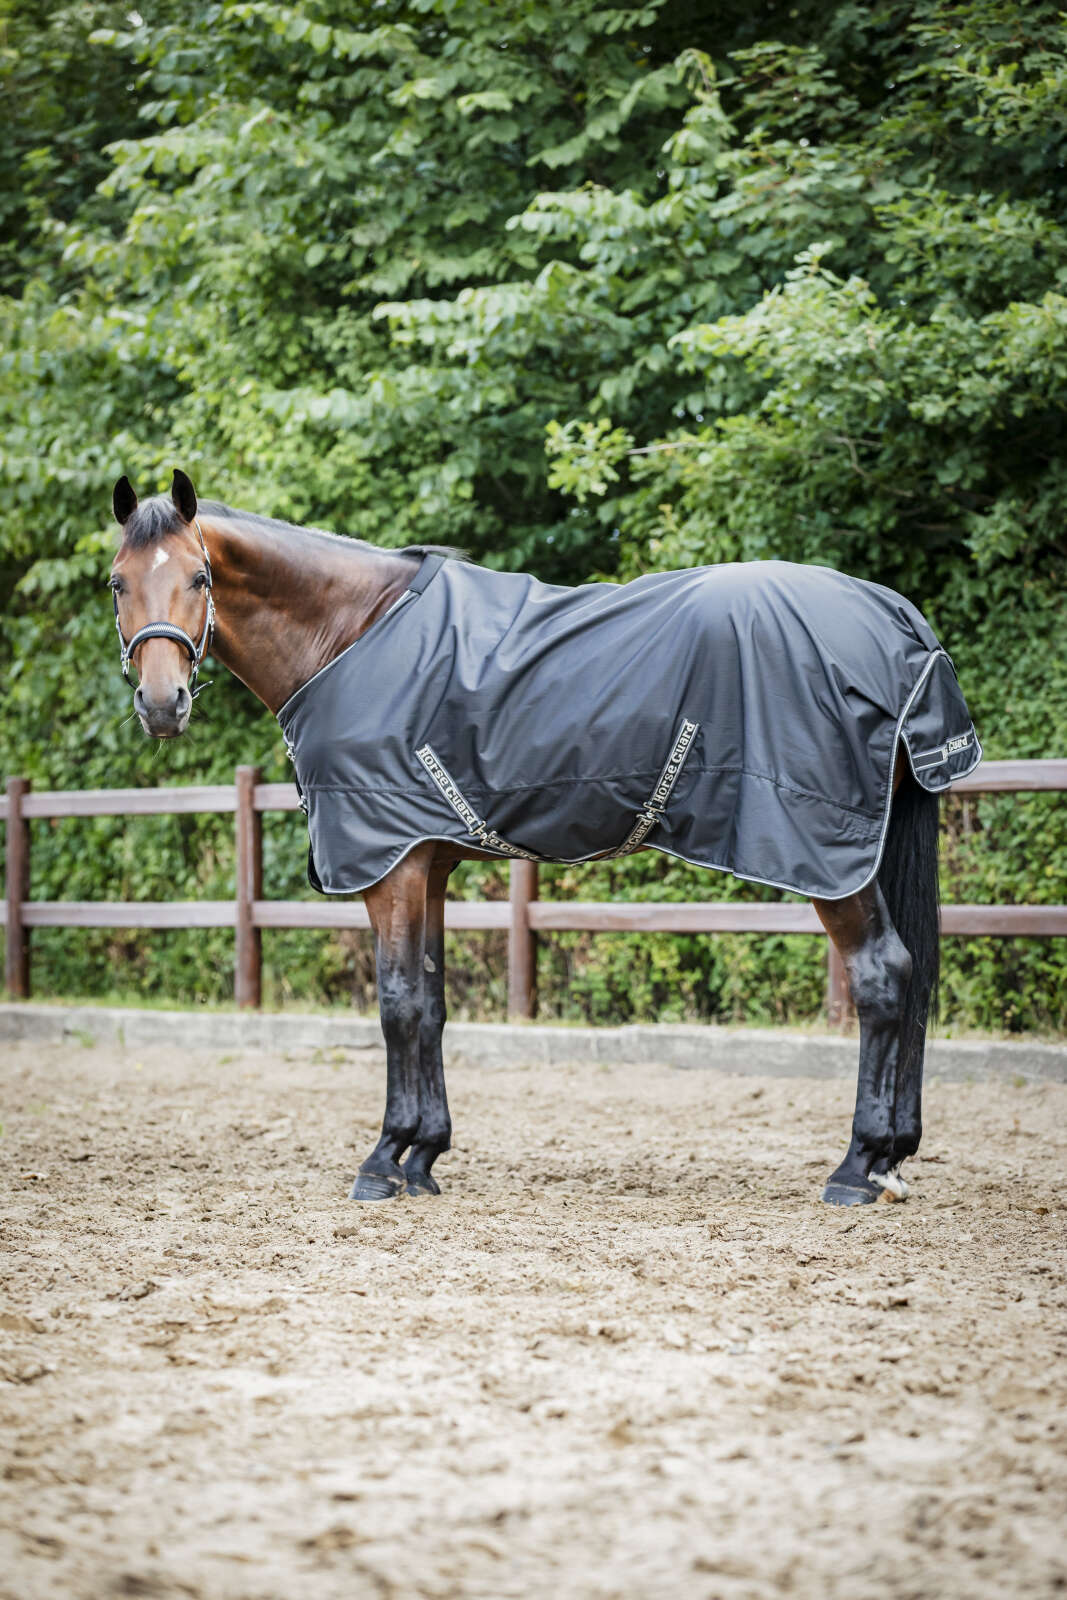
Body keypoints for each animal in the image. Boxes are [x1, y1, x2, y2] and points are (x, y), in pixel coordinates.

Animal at [108, 469, 979, 1207]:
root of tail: (892, 617)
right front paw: (422, 1156)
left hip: (832, 859)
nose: (162, 703)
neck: (351, 633)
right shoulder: (426, 863)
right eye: (118, 581)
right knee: (911, 979)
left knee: (882, 976)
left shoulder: (390, 865)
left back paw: (856, 1167)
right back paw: (893, 1156)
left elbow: (396, 1001)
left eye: (200, 578)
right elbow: (431, 1003)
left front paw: (382, 1159)